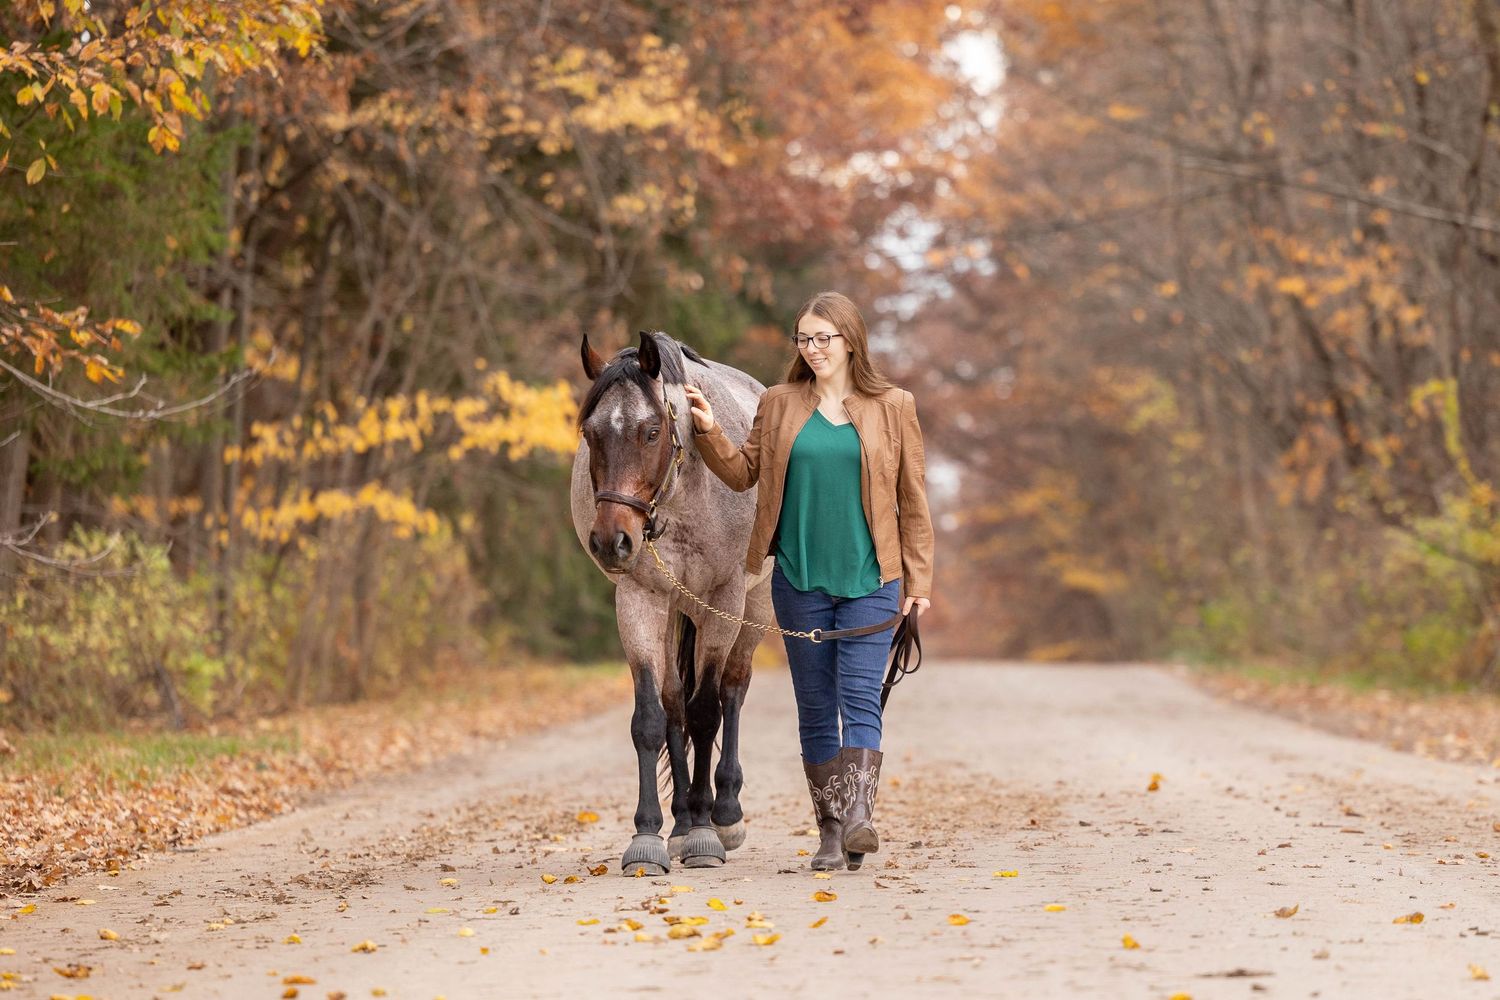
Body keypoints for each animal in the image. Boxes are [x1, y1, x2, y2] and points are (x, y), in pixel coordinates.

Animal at [571, 329, 774, 873]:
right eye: (590, 433)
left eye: (652, 431)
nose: (611, 541)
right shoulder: (640, 599)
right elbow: (653, 719)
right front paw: (650, 835)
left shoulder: (723, 600)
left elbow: (707, 713)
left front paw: (706, 832)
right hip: (674, 611)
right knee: (675, 704)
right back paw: (681, 822)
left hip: (753, 609)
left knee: (733, 691)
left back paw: (723, 812)